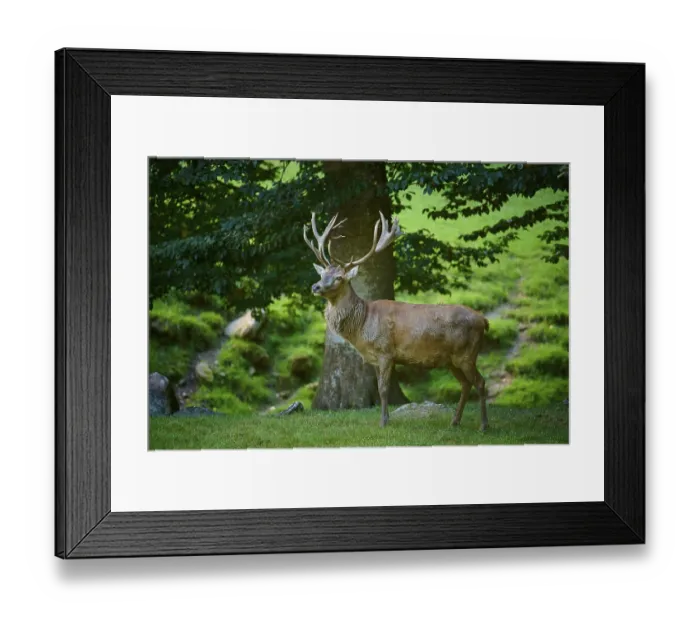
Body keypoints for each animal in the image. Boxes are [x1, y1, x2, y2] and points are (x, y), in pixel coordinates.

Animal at [304, 211, 490, 431]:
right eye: (323, 274)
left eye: (339, 277)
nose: (315, 287)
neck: (363, 324)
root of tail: (483, 320)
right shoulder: (375, 358)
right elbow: (379, 388)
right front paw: (386, 419)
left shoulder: (385, 351)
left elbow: (383, 389)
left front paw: (383, 422)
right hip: (453, 359)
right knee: (466, 384)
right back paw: (454, 421)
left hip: (467, 353)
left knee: (481, 382)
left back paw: (483, 425)